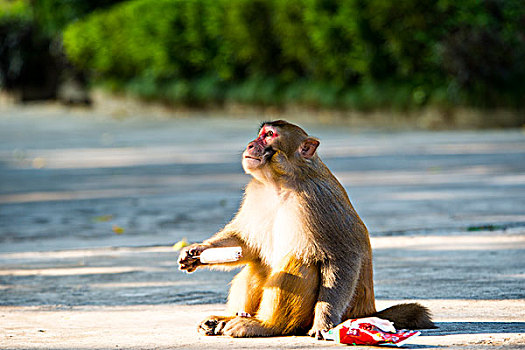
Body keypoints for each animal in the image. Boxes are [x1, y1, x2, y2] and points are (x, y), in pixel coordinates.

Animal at [178, 119, 432, 336]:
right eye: (260, 134)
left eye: (269, 136)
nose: (251, 144)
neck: (280, 183)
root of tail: (367, 312)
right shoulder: (255, 192)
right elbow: (246, 245)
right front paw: (197, 252)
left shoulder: (317, 200)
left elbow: (343, 257)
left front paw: (324, 322)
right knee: (258, 265)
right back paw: (227, 319)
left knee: (300, 261)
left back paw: (265, 325)